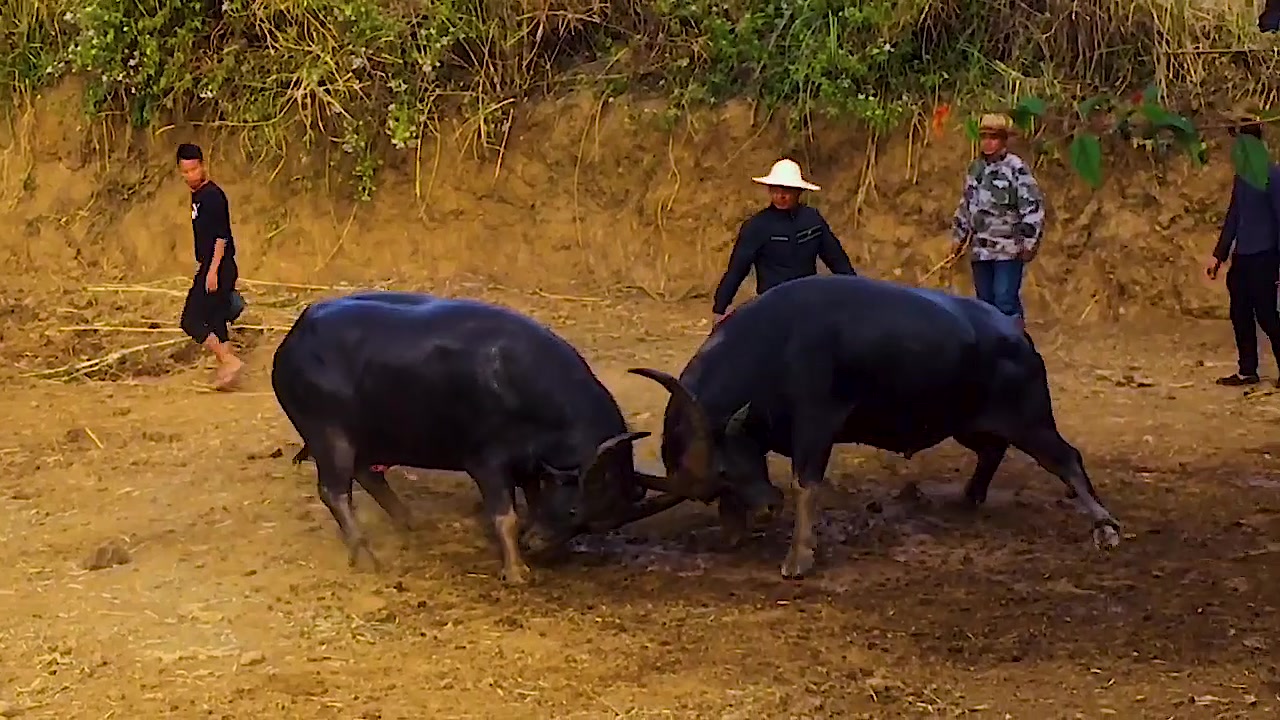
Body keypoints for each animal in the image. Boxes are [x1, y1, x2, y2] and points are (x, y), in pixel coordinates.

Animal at [273, 292, 686, 584]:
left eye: (591, 521)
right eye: (574, 511)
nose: (538, 546)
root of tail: (294, 337)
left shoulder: (529, 465)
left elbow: (534, 500)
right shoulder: (487, 462)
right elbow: (505, 515)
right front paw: (517, 572)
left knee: (368, 474)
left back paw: (412, 523)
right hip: (329, 434)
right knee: (335, 491)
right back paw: (367, 556)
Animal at [629, 272, 1121, 576]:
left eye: (725, 469)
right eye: (716, 485)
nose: (767, 507)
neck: (776, 346)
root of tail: (1016, 335)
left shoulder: (816, 427)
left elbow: (806, 485)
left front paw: (799, 558)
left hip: (1030, 419)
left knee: (1065, 458)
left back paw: (1105, 527)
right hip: (968, 422)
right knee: (991, 451)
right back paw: (968, 497)